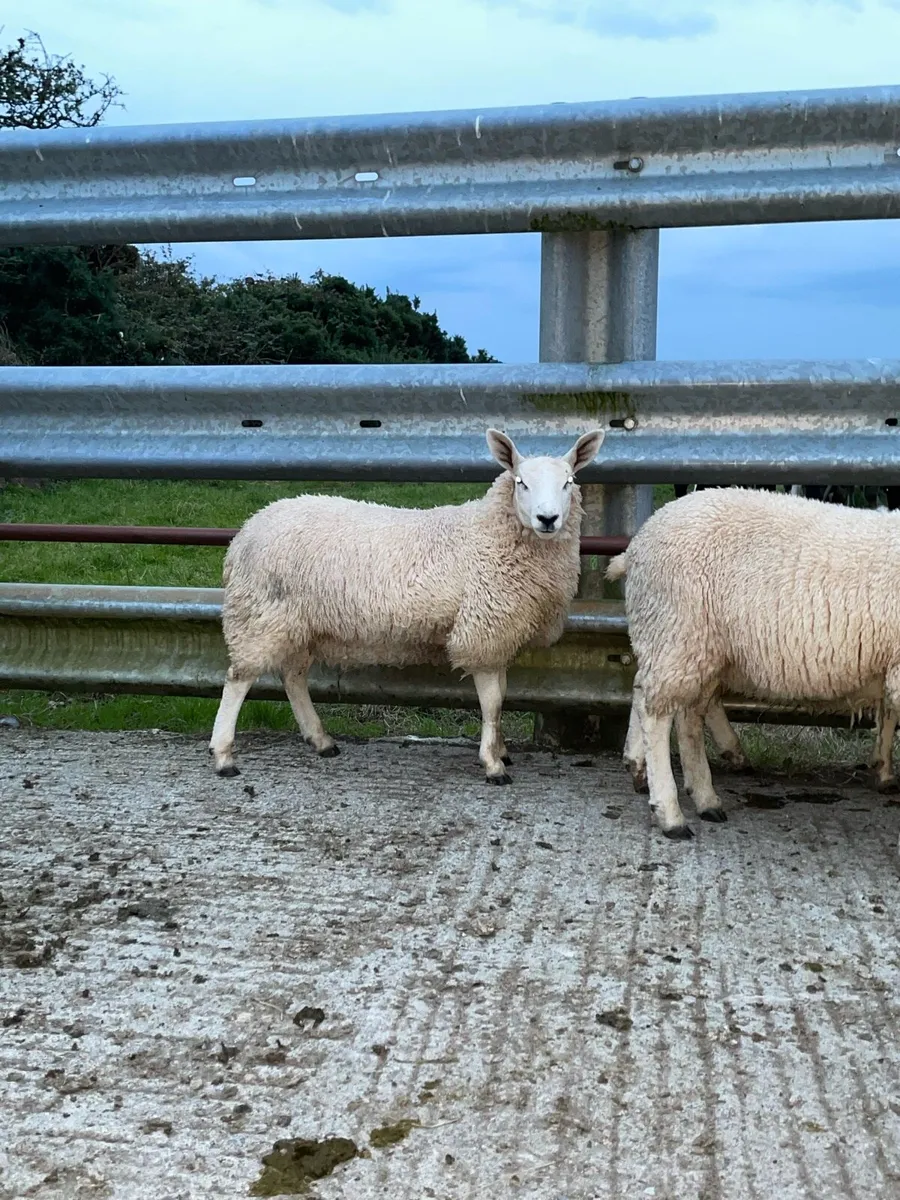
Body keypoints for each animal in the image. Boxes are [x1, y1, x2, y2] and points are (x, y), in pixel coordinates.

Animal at [209, 427, 604, 783]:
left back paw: (321, 740)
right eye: (521, 482)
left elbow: (502, 697)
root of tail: (244, 533)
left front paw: (502, 751)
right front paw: (493, 764)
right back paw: (224, 756)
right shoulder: (483, 629)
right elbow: (492, 703)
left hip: (300, 622)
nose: (548, 519)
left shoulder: (499, 633)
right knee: (238, 679)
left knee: (293, 677)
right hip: (260, 614)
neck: (490, 534)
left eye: (568, 482)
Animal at [606, 486, 900, 838]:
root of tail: (637, 544)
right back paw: (670, 813)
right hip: (678, 632)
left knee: (682, 711)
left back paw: (701, 796)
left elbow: (888, 715)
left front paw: (883, 770)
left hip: (694, 646)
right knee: (657, 712)